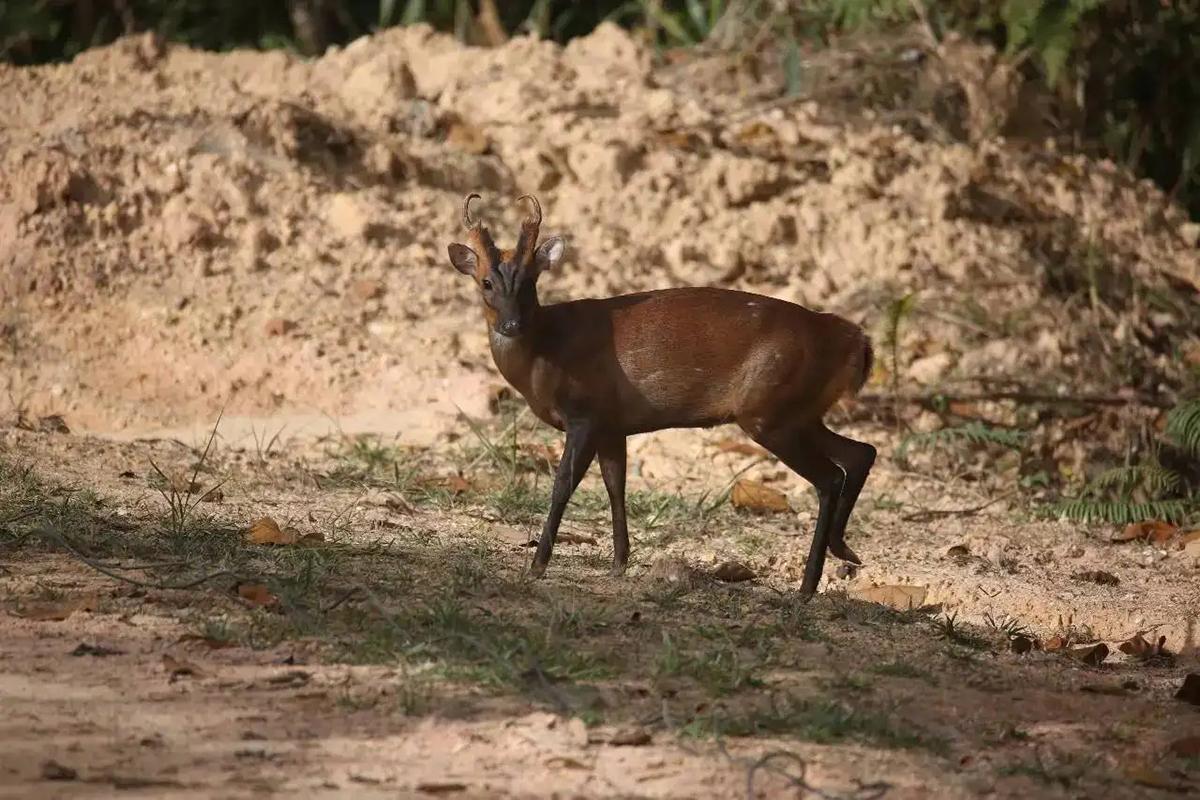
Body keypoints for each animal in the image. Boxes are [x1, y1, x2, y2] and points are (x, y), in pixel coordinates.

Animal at [446, 191, 878, 594]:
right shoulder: (611, 424)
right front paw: (619, 563)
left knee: (830, 477)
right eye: (486, 282)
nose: (512, 325)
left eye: (531, 281)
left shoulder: (585, 412)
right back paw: (844, 551)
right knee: (860, 453)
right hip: (797, 410)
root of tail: (854, 341)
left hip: (770, 409)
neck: (547, 348)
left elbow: (563, 484)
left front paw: (537, 566)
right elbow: (615, 484)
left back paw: (807, 586)